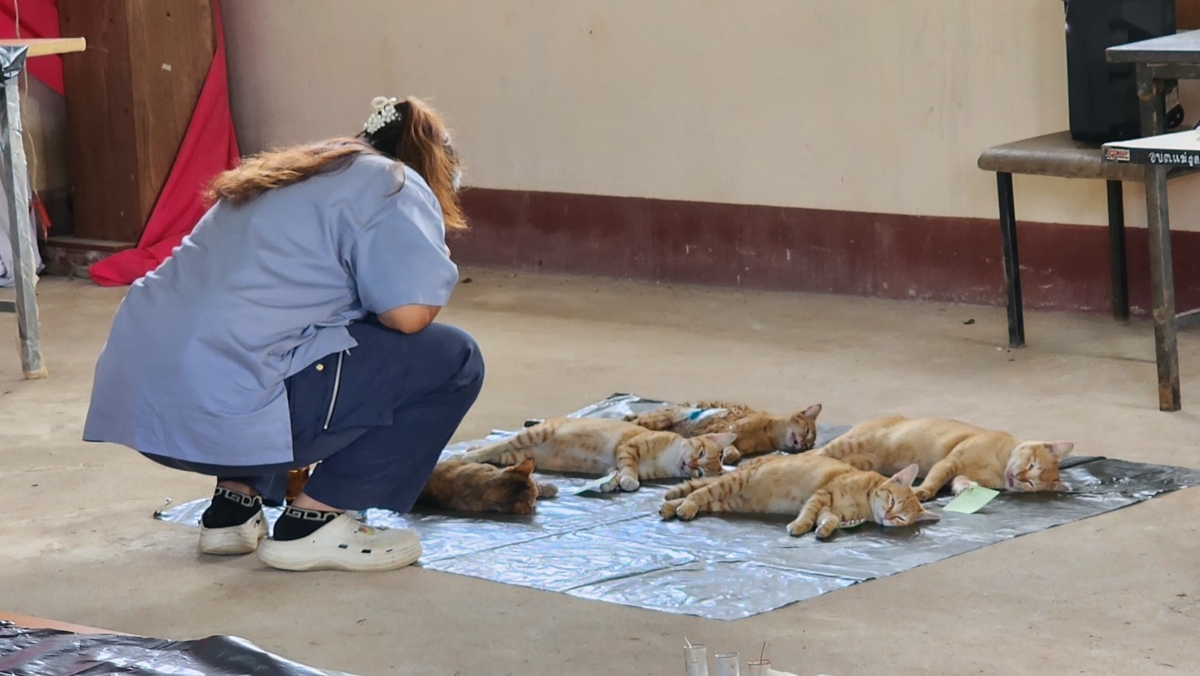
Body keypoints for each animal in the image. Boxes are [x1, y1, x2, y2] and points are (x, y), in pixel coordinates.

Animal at [457, 418, 738, 493]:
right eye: (700, 452)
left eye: (700, 472)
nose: (690, 465)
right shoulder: (629, 449)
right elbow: (630, 469)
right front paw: (629, 481)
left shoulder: (615, 465)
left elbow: (616, 473)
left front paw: (611, 485)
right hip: (533, 435)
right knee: (500, 443)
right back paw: (467, 455)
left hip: (518, 456)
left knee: (501, 452)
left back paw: (471, 453)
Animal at [628, 401, 822, 462]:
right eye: (807, 431)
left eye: (808, 447)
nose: (803, 445)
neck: (769, 436)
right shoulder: (726, 427)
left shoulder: (734, 441)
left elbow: (733, 450)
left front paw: (728, 455)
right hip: (659, 419)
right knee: (636, 422)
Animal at [659, 453, 938, 537]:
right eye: (892, 501)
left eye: (901, 518)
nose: (889, 517)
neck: (864, 503)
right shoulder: (822, 495)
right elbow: (808, 513)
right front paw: (801, 526)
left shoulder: (832, 510)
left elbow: (829, 520)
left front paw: (823, 530)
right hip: (732, 483)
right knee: (699, 492)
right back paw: (683, 507)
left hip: (729, 501)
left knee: (700, 498)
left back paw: (671, 507)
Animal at [814, 416, 1073, 501]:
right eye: (1031, 464)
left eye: (1031, 483)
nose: (1018, 477)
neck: (998, 466)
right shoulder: (949, 462)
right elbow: (934, 481)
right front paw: (923, 492)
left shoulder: (960, 473)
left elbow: (961, 482)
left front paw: (966, 489)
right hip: (854, 442)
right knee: (818, 452)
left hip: (865, 460)